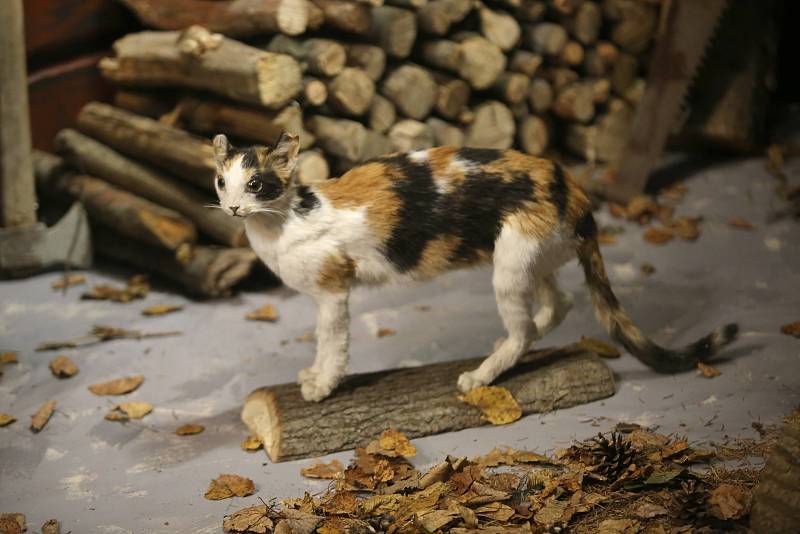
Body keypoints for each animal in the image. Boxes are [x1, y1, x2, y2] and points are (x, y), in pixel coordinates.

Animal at [212, 133, 736, 402]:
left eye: (256, 184)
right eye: (221, 182)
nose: (234, 208)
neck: (286, 219)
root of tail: (576, 193)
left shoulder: (333, 292)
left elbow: (332, 345)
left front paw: (322, 385)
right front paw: (313, 377)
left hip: (510, 267)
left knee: (524, 328)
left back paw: (482, 375)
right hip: (528, 259)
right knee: (556, 305)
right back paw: (510, 346)